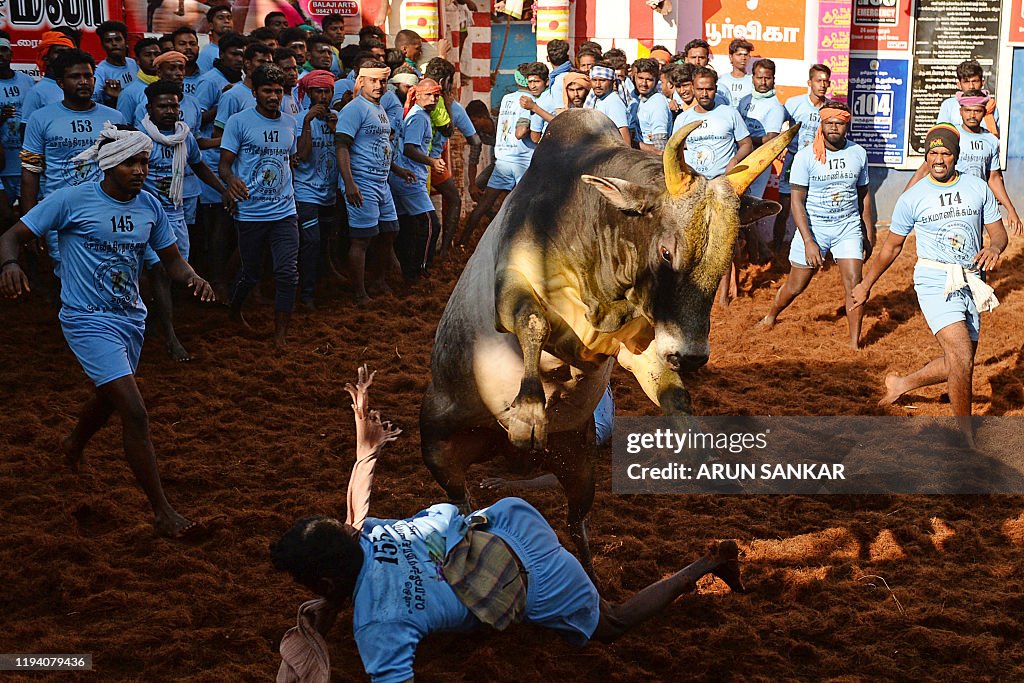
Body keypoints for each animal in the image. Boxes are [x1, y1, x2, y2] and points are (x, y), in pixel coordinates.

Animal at [419, 108, 794, 573]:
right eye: (666, 252)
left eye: (724, 259)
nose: (691, 356)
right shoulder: (510, 287)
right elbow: (533, 324)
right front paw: (529, 412)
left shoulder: (641, 345)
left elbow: (671, 392)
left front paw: (699, 450)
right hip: (438, 447)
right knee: (462, 502)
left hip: (578, 463)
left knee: (575, 520)